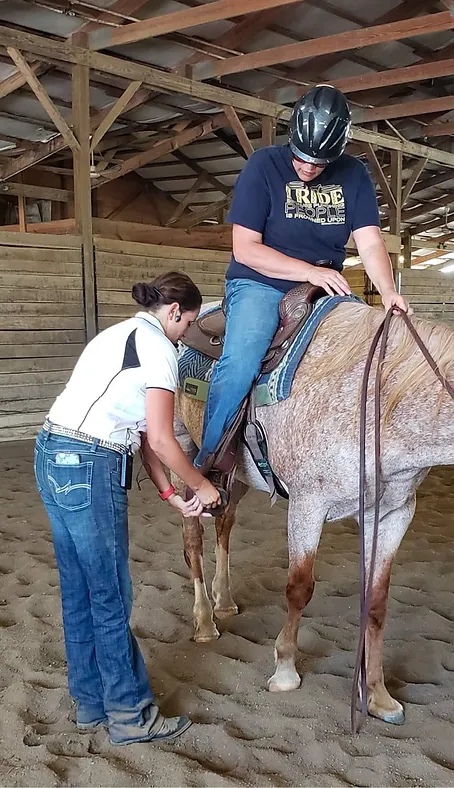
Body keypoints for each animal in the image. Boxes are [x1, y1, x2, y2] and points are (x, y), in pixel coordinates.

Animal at [171, 300, 454, 728]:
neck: (373, 403)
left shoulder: (394, 514)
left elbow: (377, 602)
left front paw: (377, 695)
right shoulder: (308, 504)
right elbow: (299, 588)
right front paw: (285, 670)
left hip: (234, 478)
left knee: (224, 525)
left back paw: (225, 601)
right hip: (184, 458)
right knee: (192, 540)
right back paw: (205, 621)